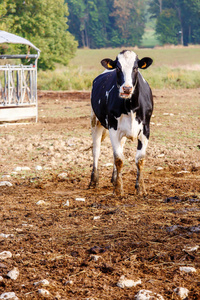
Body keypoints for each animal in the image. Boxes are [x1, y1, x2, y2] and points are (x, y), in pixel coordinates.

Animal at [89, 50, 153, 196]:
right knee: (96, 150)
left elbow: (140, 159)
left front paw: (141, 188)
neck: (131, 107)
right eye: (118, 68)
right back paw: (94, 180)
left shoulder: (145, 129)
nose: (127, 89)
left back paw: (114, 178)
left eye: (135, 68)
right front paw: (118, 190)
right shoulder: (113, 128)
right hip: (95, 121)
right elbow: (119, 159)